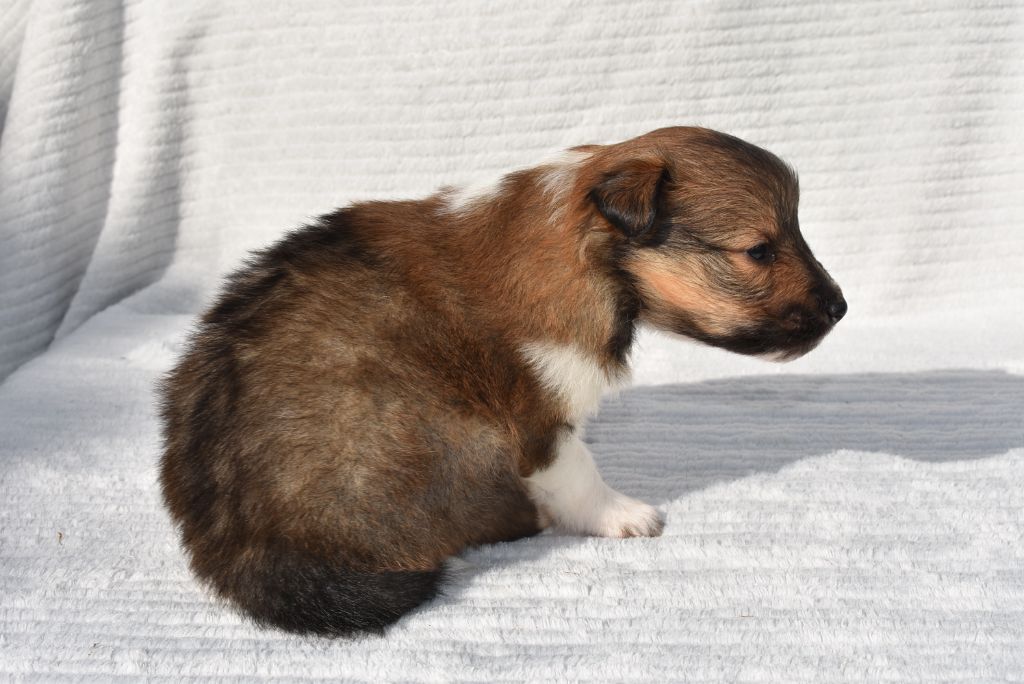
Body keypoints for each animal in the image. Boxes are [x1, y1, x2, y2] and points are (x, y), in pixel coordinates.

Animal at [159, 126, 846, 637]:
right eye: (759, 250)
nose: (841, 308)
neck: (592, 257)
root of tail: (244, 551)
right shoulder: (538, 418)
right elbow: (580, 475)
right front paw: (625, 516)